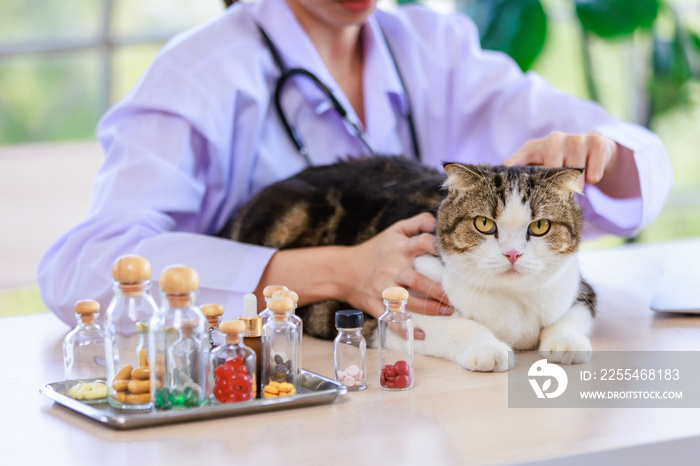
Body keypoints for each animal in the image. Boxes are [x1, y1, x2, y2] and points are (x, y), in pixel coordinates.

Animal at [221, 157, 592, 372]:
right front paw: (487, 347)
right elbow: (457, 326)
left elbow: (574, 315)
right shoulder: (393, 317)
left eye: (540, 226)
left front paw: (566, 342)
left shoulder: (579, 289)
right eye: (484, 223)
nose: (512, 254)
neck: (512, 301)